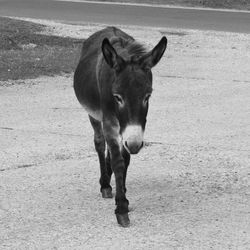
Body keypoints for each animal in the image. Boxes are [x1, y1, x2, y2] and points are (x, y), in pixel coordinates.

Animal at [74, 26, 168, 227]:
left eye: (147, 96)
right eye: (117, 97)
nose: (134, 144)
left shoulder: (126, 133)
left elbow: (125, 159)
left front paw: (122, 192)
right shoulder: (110, 123)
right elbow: (118, 162)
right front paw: (121, 208)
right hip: (94, 117)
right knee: (100, 144)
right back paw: (105, 185)